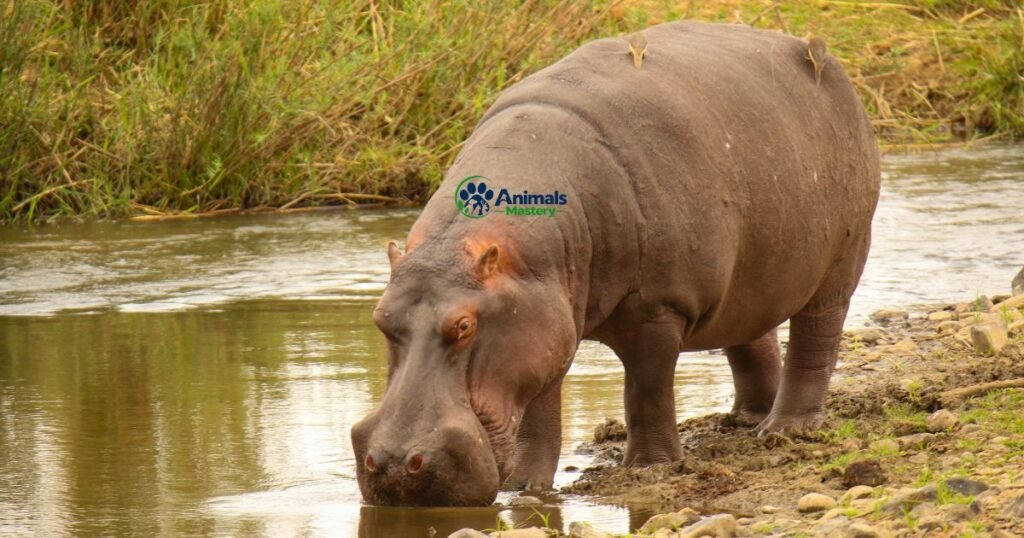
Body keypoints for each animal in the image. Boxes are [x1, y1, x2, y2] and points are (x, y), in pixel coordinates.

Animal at [350, 21, 880, 506]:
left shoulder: (658, 308)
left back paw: (785, 429)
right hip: (751, 275)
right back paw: (749, 417)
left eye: (463, 325)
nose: (393, 463)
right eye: (380, 318)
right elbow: (539, 406)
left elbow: (646, 391)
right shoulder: (544, 320)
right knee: (752, 333)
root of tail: (824, 62)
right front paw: (524, 486)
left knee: (816, 338)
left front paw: (649, 468)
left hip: (841, 260)